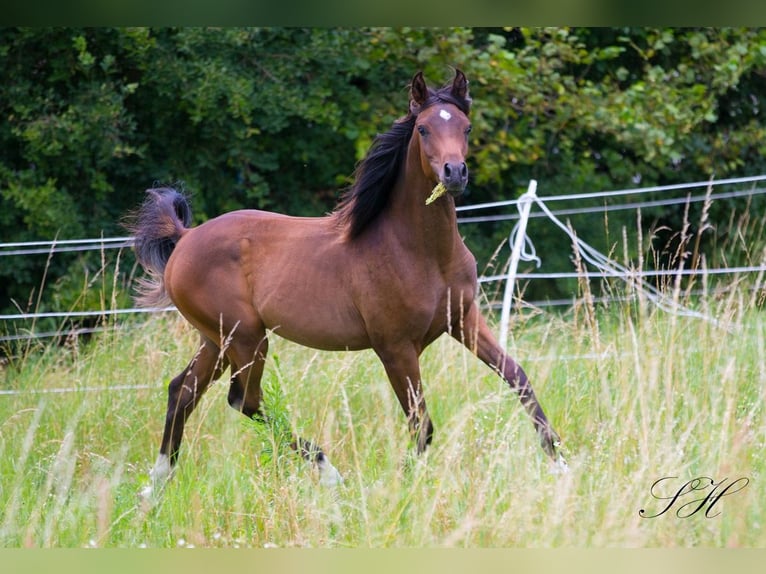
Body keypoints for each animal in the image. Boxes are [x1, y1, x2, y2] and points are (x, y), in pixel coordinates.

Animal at [129, 68, 564, 500]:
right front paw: (401, 487)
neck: (420, 252)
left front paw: (561, 464)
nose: (454, 174)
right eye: (423, 129)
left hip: (217, 340)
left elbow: (518, 378)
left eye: (466, 127)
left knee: (182, 391)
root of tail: (185, 238)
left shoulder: (464, 320)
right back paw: (330, 473)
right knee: (243, 401)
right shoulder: (395, 348)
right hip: (247, 338)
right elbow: (421, 424)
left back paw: (154, 487)